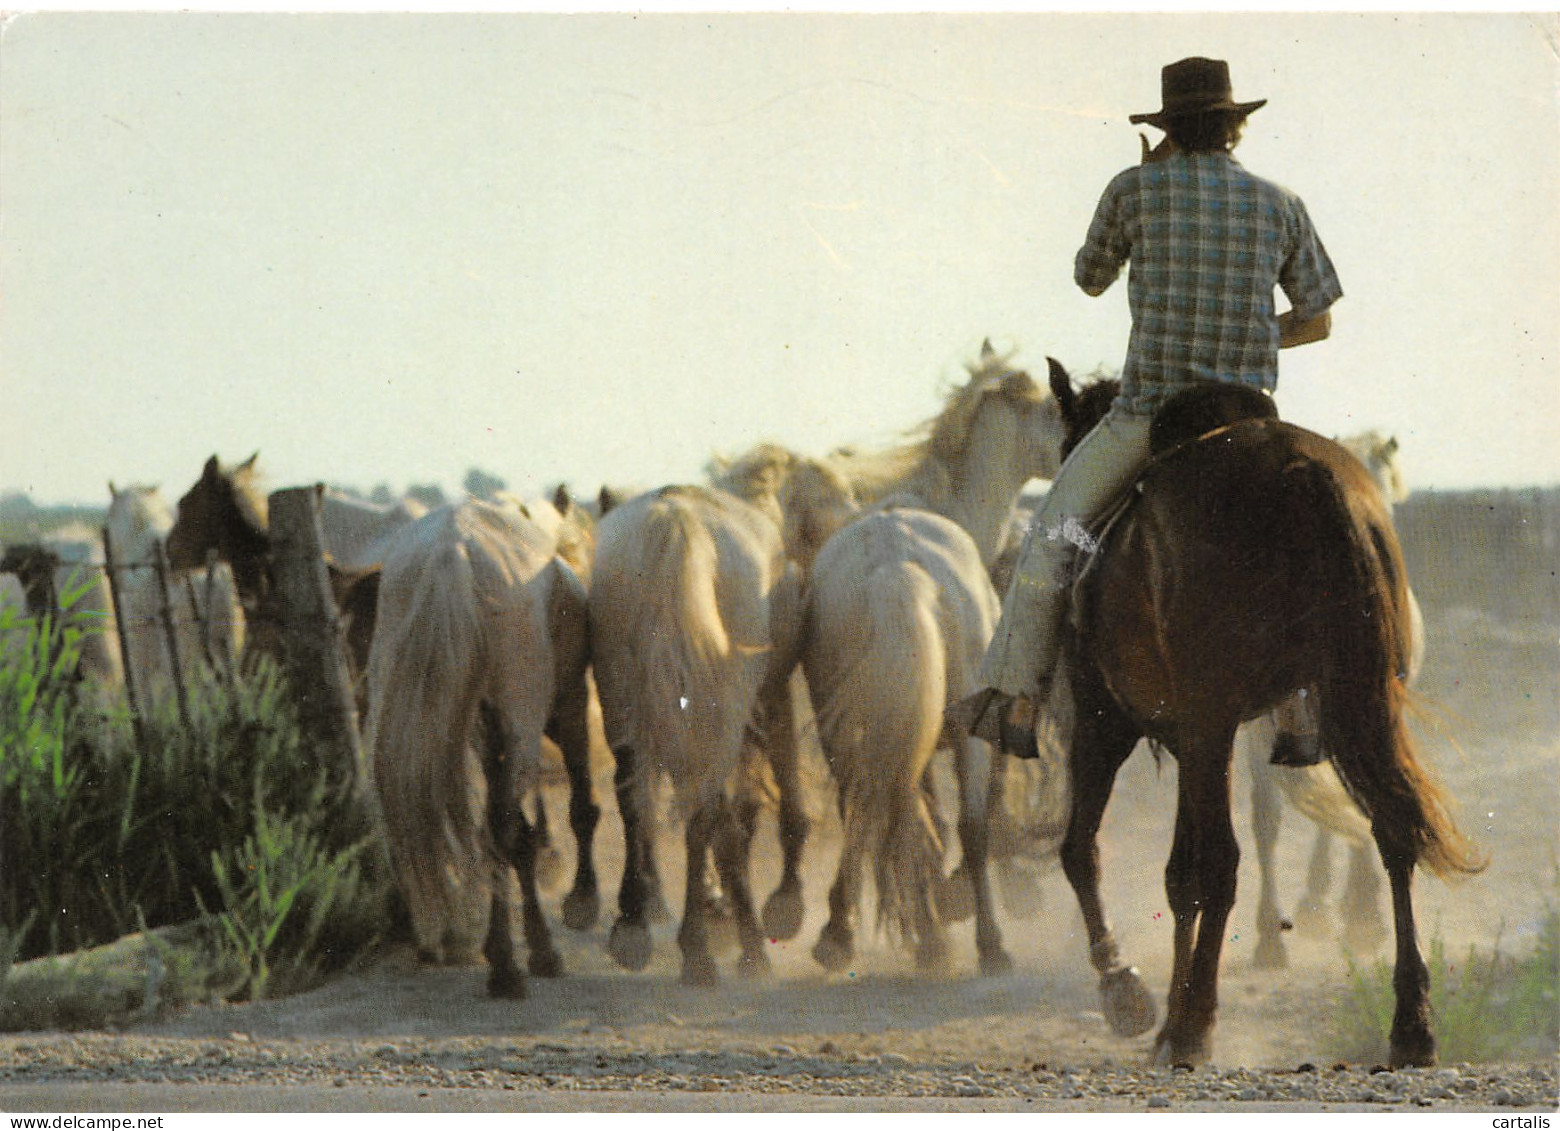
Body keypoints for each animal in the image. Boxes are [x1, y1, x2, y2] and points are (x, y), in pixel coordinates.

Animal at [361, 499, 592, 992]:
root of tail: (454, 549)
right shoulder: (567, 705)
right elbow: (571, 809)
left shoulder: (485, 734)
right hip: (527, 720)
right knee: (502, 829)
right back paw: (510, 965)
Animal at [1042, 363, 1478, 1067]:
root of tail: (1305, 472)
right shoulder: (1195, 736)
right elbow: (1177, 873)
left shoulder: (1113, 721)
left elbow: (1089, 850)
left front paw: (1130, 995)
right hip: (1362, 704)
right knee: (1390, 829)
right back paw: (1411, 1025)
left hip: (1213, 719)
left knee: (1221, 859)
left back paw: (1193, 1025)